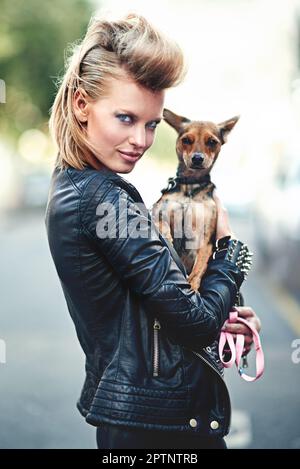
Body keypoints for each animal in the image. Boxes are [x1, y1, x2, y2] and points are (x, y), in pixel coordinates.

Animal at [152, 108, 239, 290]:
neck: (190, 187)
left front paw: (192, 286)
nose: (197, 158)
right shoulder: (158, 210)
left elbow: (200, 266)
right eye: (186, 140)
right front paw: (168, 238)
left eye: (212, 142)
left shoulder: (206, 239)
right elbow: (163, 224)